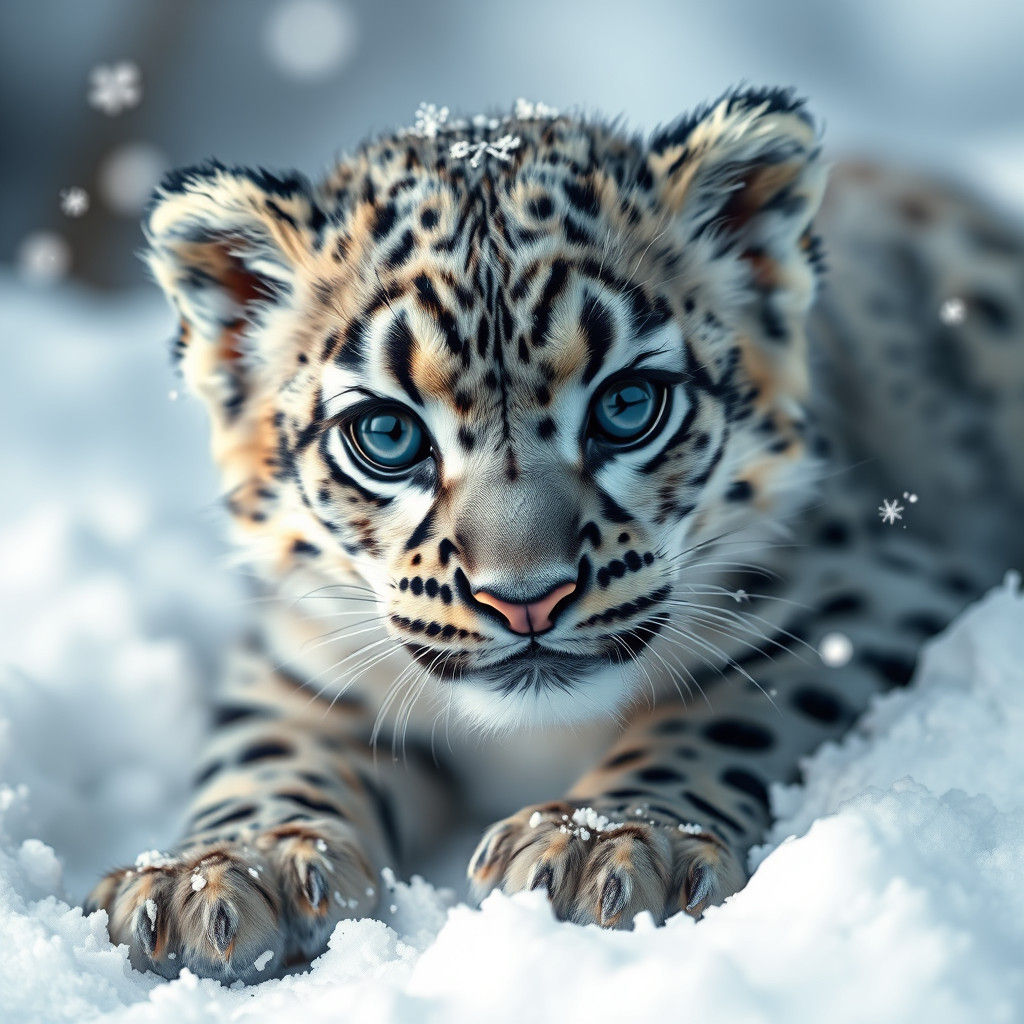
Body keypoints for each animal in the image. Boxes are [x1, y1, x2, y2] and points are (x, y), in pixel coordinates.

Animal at [85, 87, 1024, 984]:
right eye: (387, 434)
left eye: (628, 404)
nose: (526, 599)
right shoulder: (300, 650)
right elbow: (268, 743)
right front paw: (219, 875)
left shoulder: (868, 587)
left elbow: (728, 709)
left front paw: (605, 844)